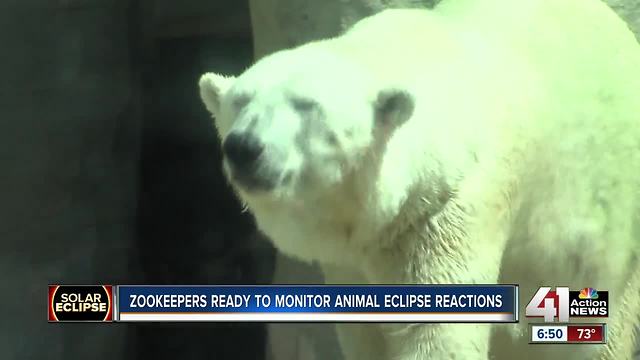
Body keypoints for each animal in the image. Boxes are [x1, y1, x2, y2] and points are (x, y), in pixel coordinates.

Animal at [198, 0, 636, 358]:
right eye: (240, 102)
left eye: (307, 105)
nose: (244, 147)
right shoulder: (351, 259)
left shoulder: (447, 212)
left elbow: (439, 330)